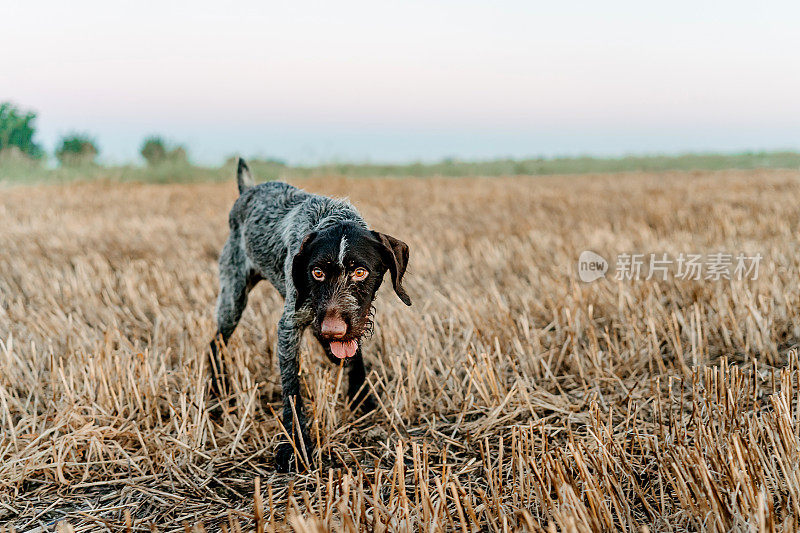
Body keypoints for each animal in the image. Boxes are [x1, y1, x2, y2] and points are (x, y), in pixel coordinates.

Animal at [209, 158, 412, 470]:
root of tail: (248, 190)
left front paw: (361, 399)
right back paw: (220, 393)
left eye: (360, 272)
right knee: (216, 342)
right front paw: (294, 444)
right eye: (316, 272)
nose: (332, 330)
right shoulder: (289, 327)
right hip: (233, 297)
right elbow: (292, 388)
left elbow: (354, 355)